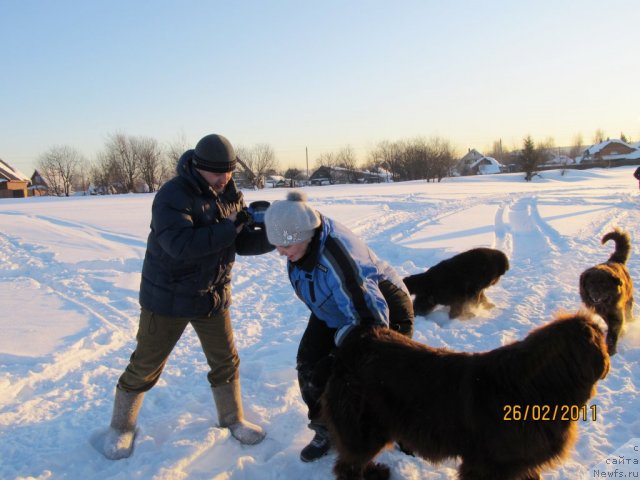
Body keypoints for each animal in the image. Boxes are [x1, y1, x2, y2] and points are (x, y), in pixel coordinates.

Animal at [322, 314, 608, 478]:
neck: (533, 389)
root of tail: (354, 345)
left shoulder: (521, 463)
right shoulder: (488, 465)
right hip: (365, 431)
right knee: (347, 466)